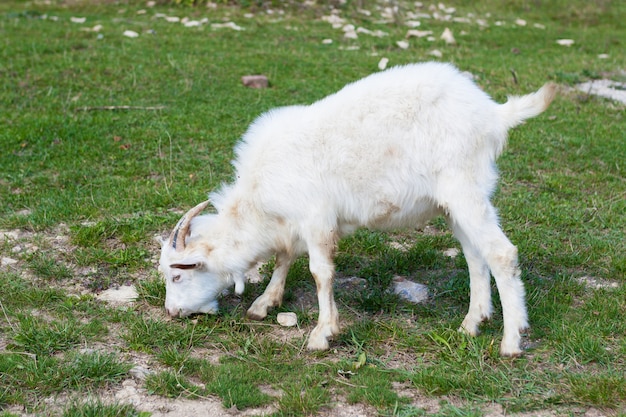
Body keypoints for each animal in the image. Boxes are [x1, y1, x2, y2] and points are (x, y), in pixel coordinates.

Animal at [158, 61, 552, 354]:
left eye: (178, 275)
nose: (172, 312)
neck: (257, 199)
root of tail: (493, 113)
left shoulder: (316, 218)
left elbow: (320, 272)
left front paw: (323, 333)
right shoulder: (293, 223)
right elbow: (284, 257)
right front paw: (265, 303)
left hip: (465, 189)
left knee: (501, 253)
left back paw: (511, 341)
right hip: (453, 203)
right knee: (475, 255)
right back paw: (472, 323)